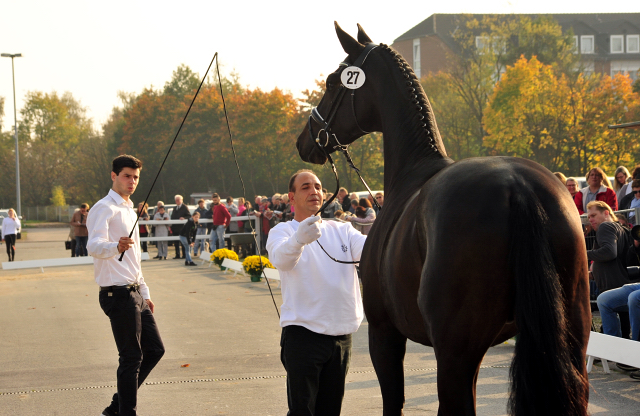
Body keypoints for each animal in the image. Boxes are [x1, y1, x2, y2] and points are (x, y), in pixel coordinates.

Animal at [296, 23, 592, 416]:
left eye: (332, 82)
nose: (304, 141)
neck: (412, 171)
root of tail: (518, 187)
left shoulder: (384, 332)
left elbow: (394, 402)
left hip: (454, 353)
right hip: (569, 342)